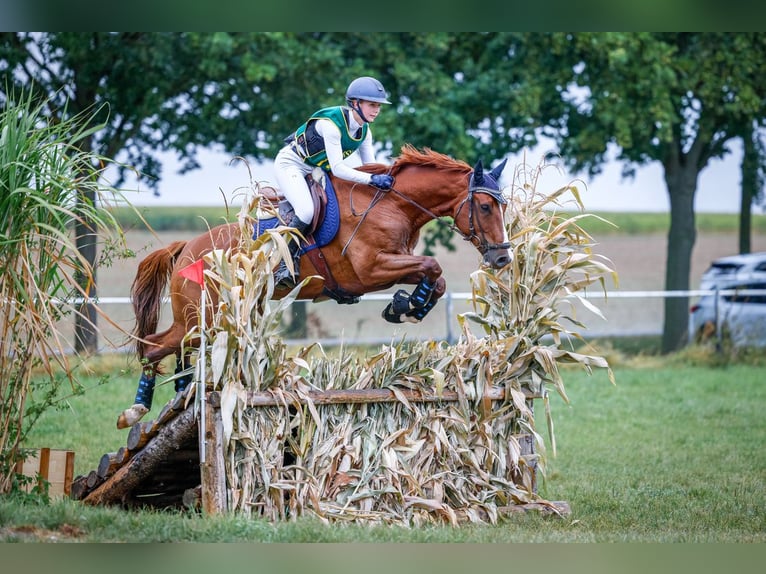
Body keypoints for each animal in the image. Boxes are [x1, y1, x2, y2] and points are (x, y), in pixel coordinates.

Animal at [117, 146, 512, 430]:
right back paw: (134, 411)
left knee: (180, 349)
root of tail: (187, 248)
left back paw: (183, 395)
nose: (502, 257)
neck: (392, 203)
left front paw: (406, 306)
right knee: (152, 346)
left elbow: (437, 278)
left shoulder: (396, 262)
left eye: (502, 206)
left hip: (211, 320)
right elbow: (433, 265)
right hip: (204, 317)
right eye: (484, 206)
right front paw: (406, 306)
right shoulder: (370, 269)